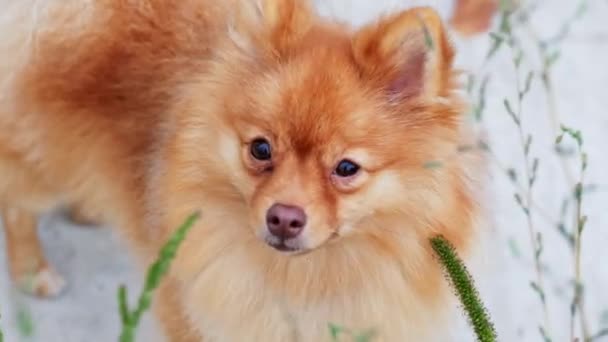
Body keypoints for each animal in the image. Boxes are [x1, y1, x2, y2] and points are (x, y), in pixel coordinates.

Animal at [0, 0, 484, 340]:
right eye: (261, 148)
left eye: (346, 168)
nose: (284, 218)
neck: (305, 278)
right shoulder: (189, 311)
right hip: (41, 160)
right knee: (16, 201)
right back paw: (34, 271)